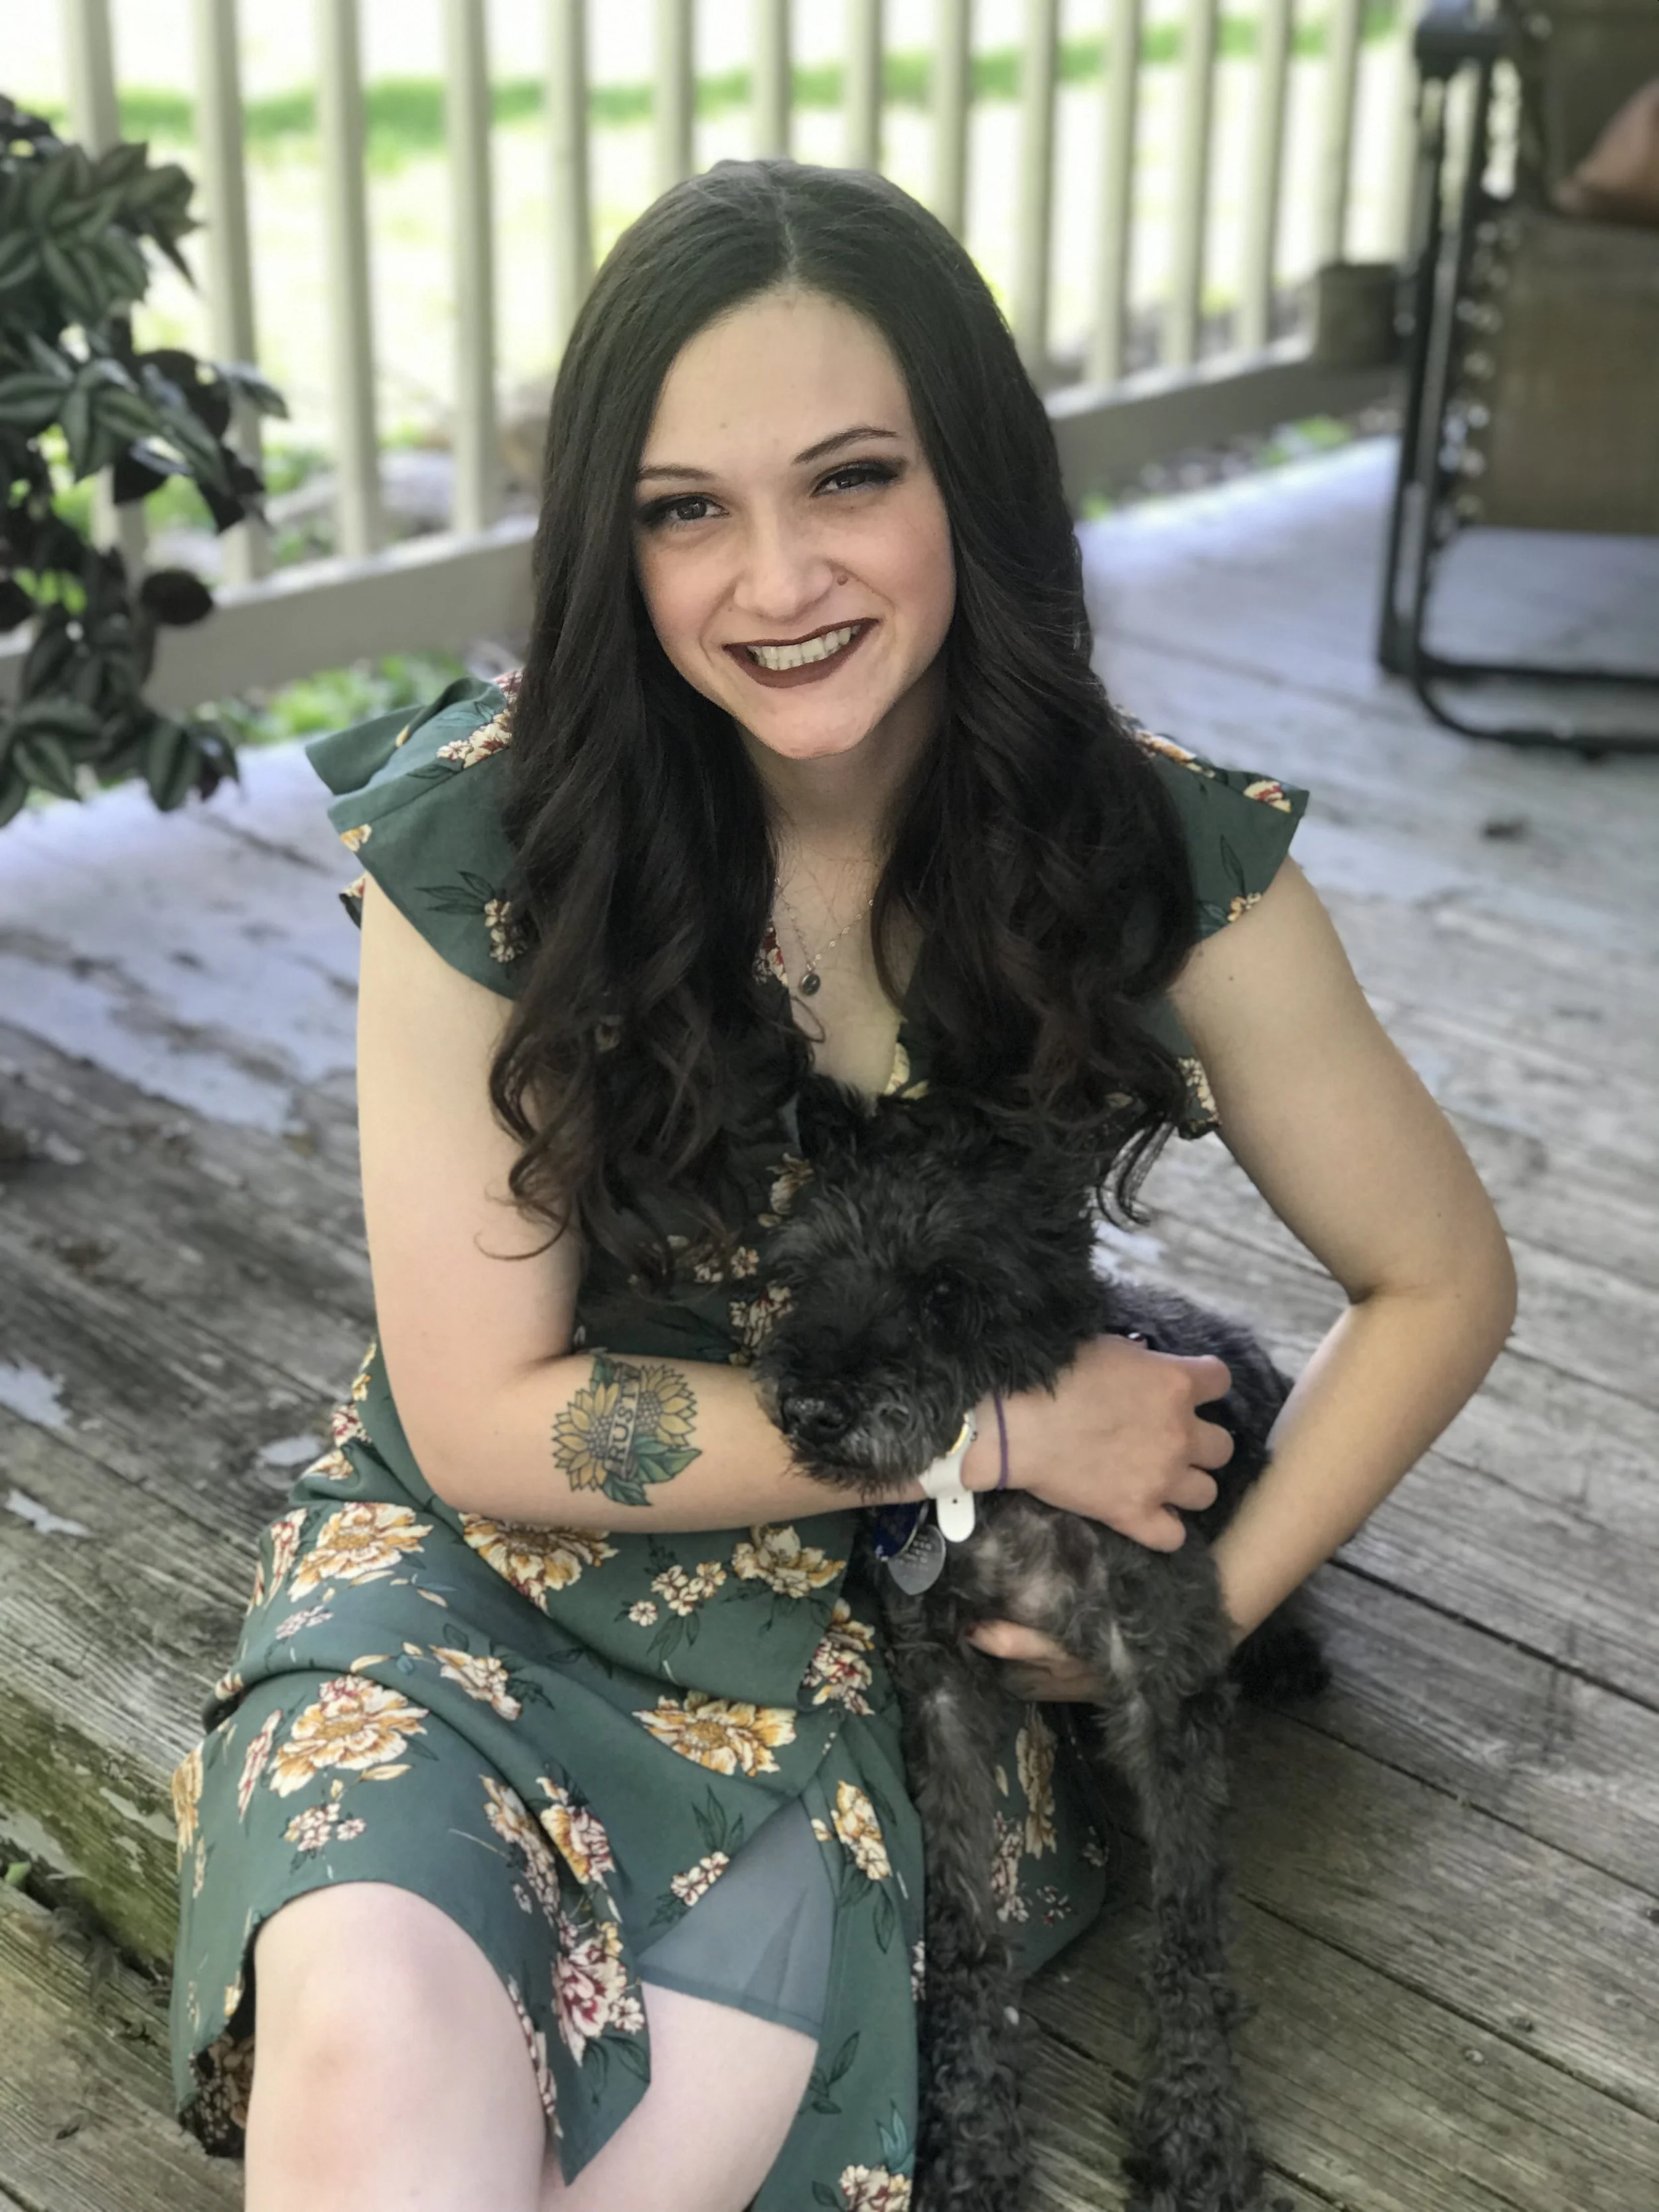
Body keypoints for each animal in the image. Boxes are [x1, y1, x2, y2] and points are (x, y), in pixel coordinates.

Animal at [751, 1073, 1328, 2212]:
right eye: (804, 1273)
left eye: (944, 1288)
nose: (813, 1409)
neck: (1008, 1507)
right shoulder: (940, 1694)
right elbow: (964, 1922)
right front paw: (972, 2136)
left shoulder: (1166, 1685)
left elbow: (1188, 1920)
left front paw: (1197, 2129)